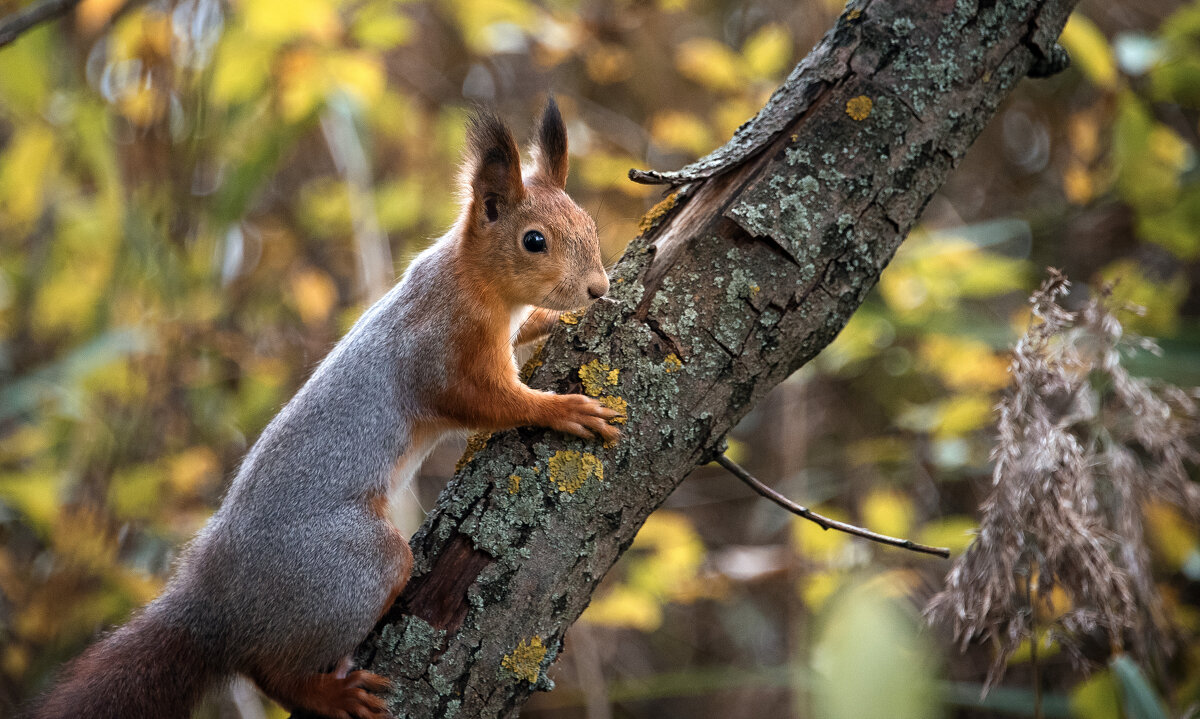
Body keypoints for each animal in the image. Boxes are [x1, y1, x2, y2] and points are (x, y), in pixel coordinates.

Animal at [30, 99, 619, 719]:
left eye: (589, 225)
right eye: (534, 241)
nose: (597, 289)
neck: (473, 279)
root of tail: (213, 607)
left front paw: (561, 316)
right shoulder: (441, 350)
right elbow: (481, 399)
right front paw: (564, 408)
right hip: (350, 569)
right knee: (270, 670)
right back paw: (330, 692)